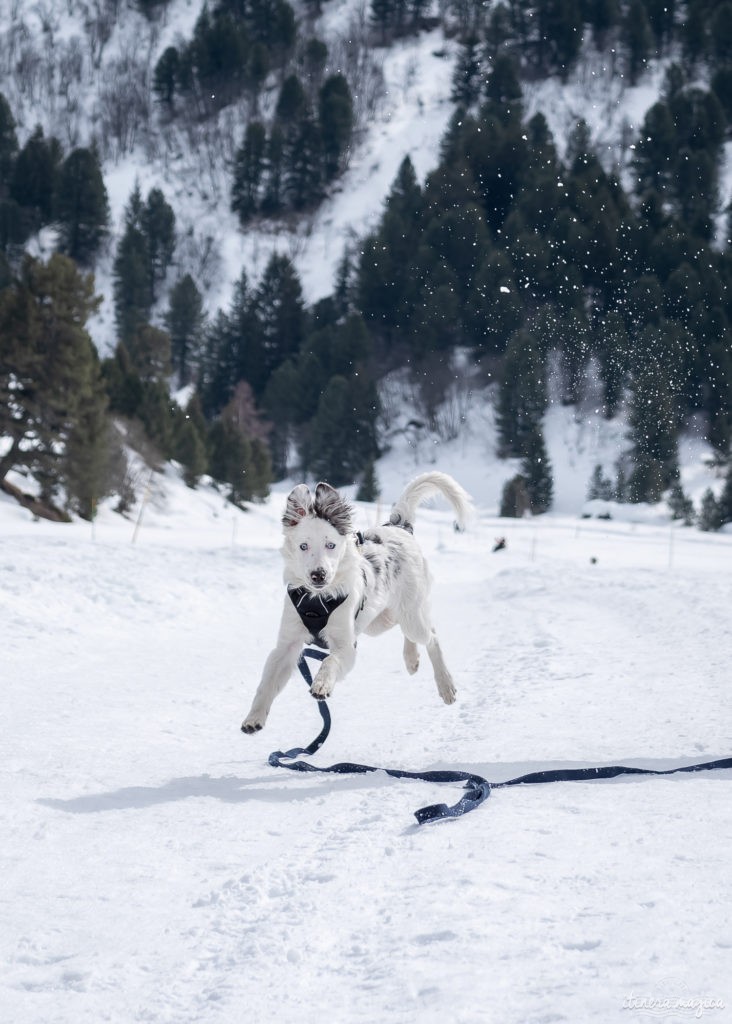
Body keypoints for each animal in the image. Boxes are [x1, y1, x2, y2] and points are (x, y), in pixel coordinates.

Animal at [241, 471, 475, 737]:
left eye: (331, 545)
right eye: (303, 546)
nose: (318, 575)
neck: (317, 601)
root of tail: (400, 527)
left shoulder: (347, 646)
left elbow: (330, 660)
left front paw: (321, 683)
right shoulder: (286, 645)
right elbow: (267, 682)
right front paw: (254, 717)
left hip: (410, 611)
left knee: (431, 636)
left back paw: (445, 684)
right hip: (379, 620)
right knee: (408, 627)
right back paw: (411, 658)